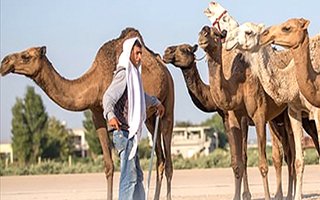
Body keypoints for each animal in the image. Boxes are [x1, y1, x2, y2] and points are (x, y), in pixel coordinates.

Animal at [0, 27, 175, 200]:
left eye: (26, 56)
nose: (4, 63)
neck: (95, 82)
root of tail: (164, 69)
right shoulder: (96, 113)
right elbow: (108, 165)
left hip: (169, 106)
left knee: (168, 161)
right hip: (150, 119)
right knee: (160, 159)